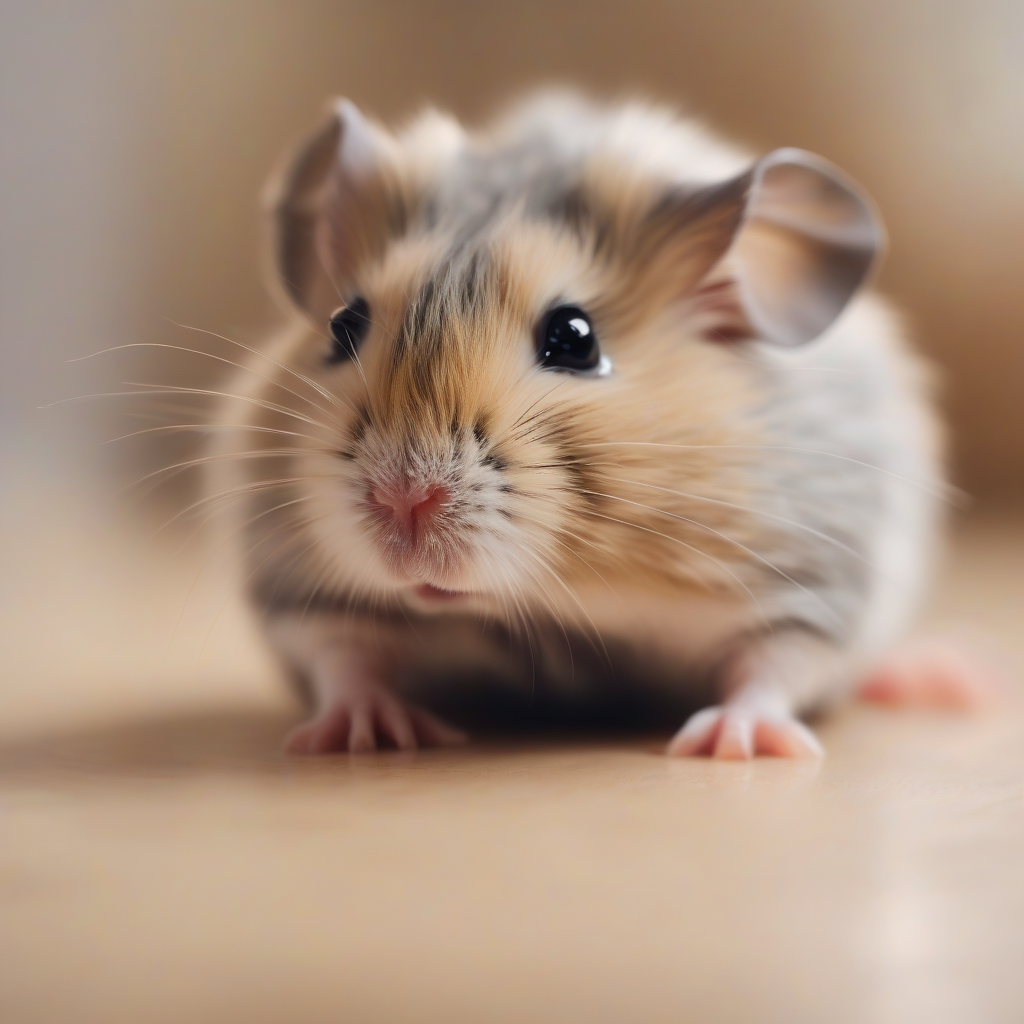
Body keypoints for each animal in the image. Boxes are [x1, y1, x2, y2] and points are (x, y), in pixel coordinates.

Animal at [209, 91, 944, 758]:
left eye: (575, 339)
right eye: (343, 326)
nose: (403, 501)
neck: (545, 610)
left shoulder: (811, 586)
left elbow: (774, 667)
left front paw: (730, 745)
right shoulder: (299, 591)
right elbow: (342, 654)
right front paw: (365, 733)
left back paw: (934, 678)